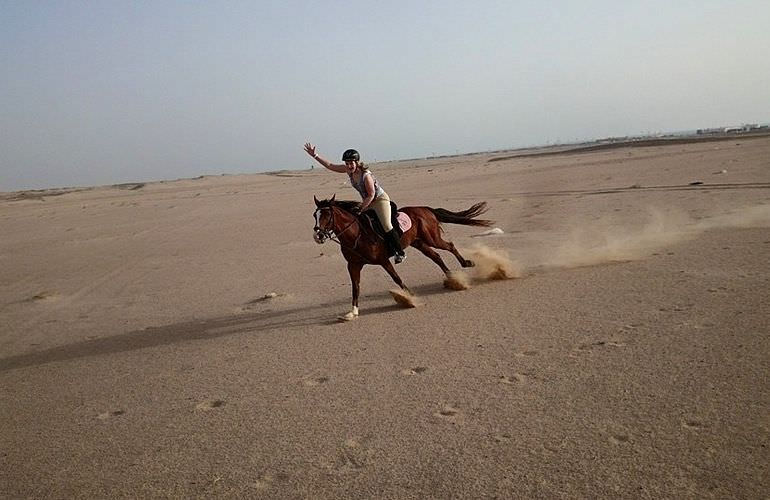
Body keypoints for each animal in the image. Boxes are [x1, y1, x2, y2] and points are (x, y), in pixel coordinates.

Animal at [312, 195, 492, 320]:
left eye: (327, 215)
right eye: (315, 215)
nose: (318, 236)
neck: (356, 234)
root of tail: (426, 209)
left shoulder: (383, 260)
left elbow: (396, 278)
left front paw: (410, 297)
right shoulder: (353, 265)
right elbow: (355, 287)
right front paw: (352, 313)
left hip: (432, 238)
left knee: (450, 246)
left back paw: (466, 264)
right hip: (419, 243)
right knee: (436, 256)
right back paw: (453, 278)